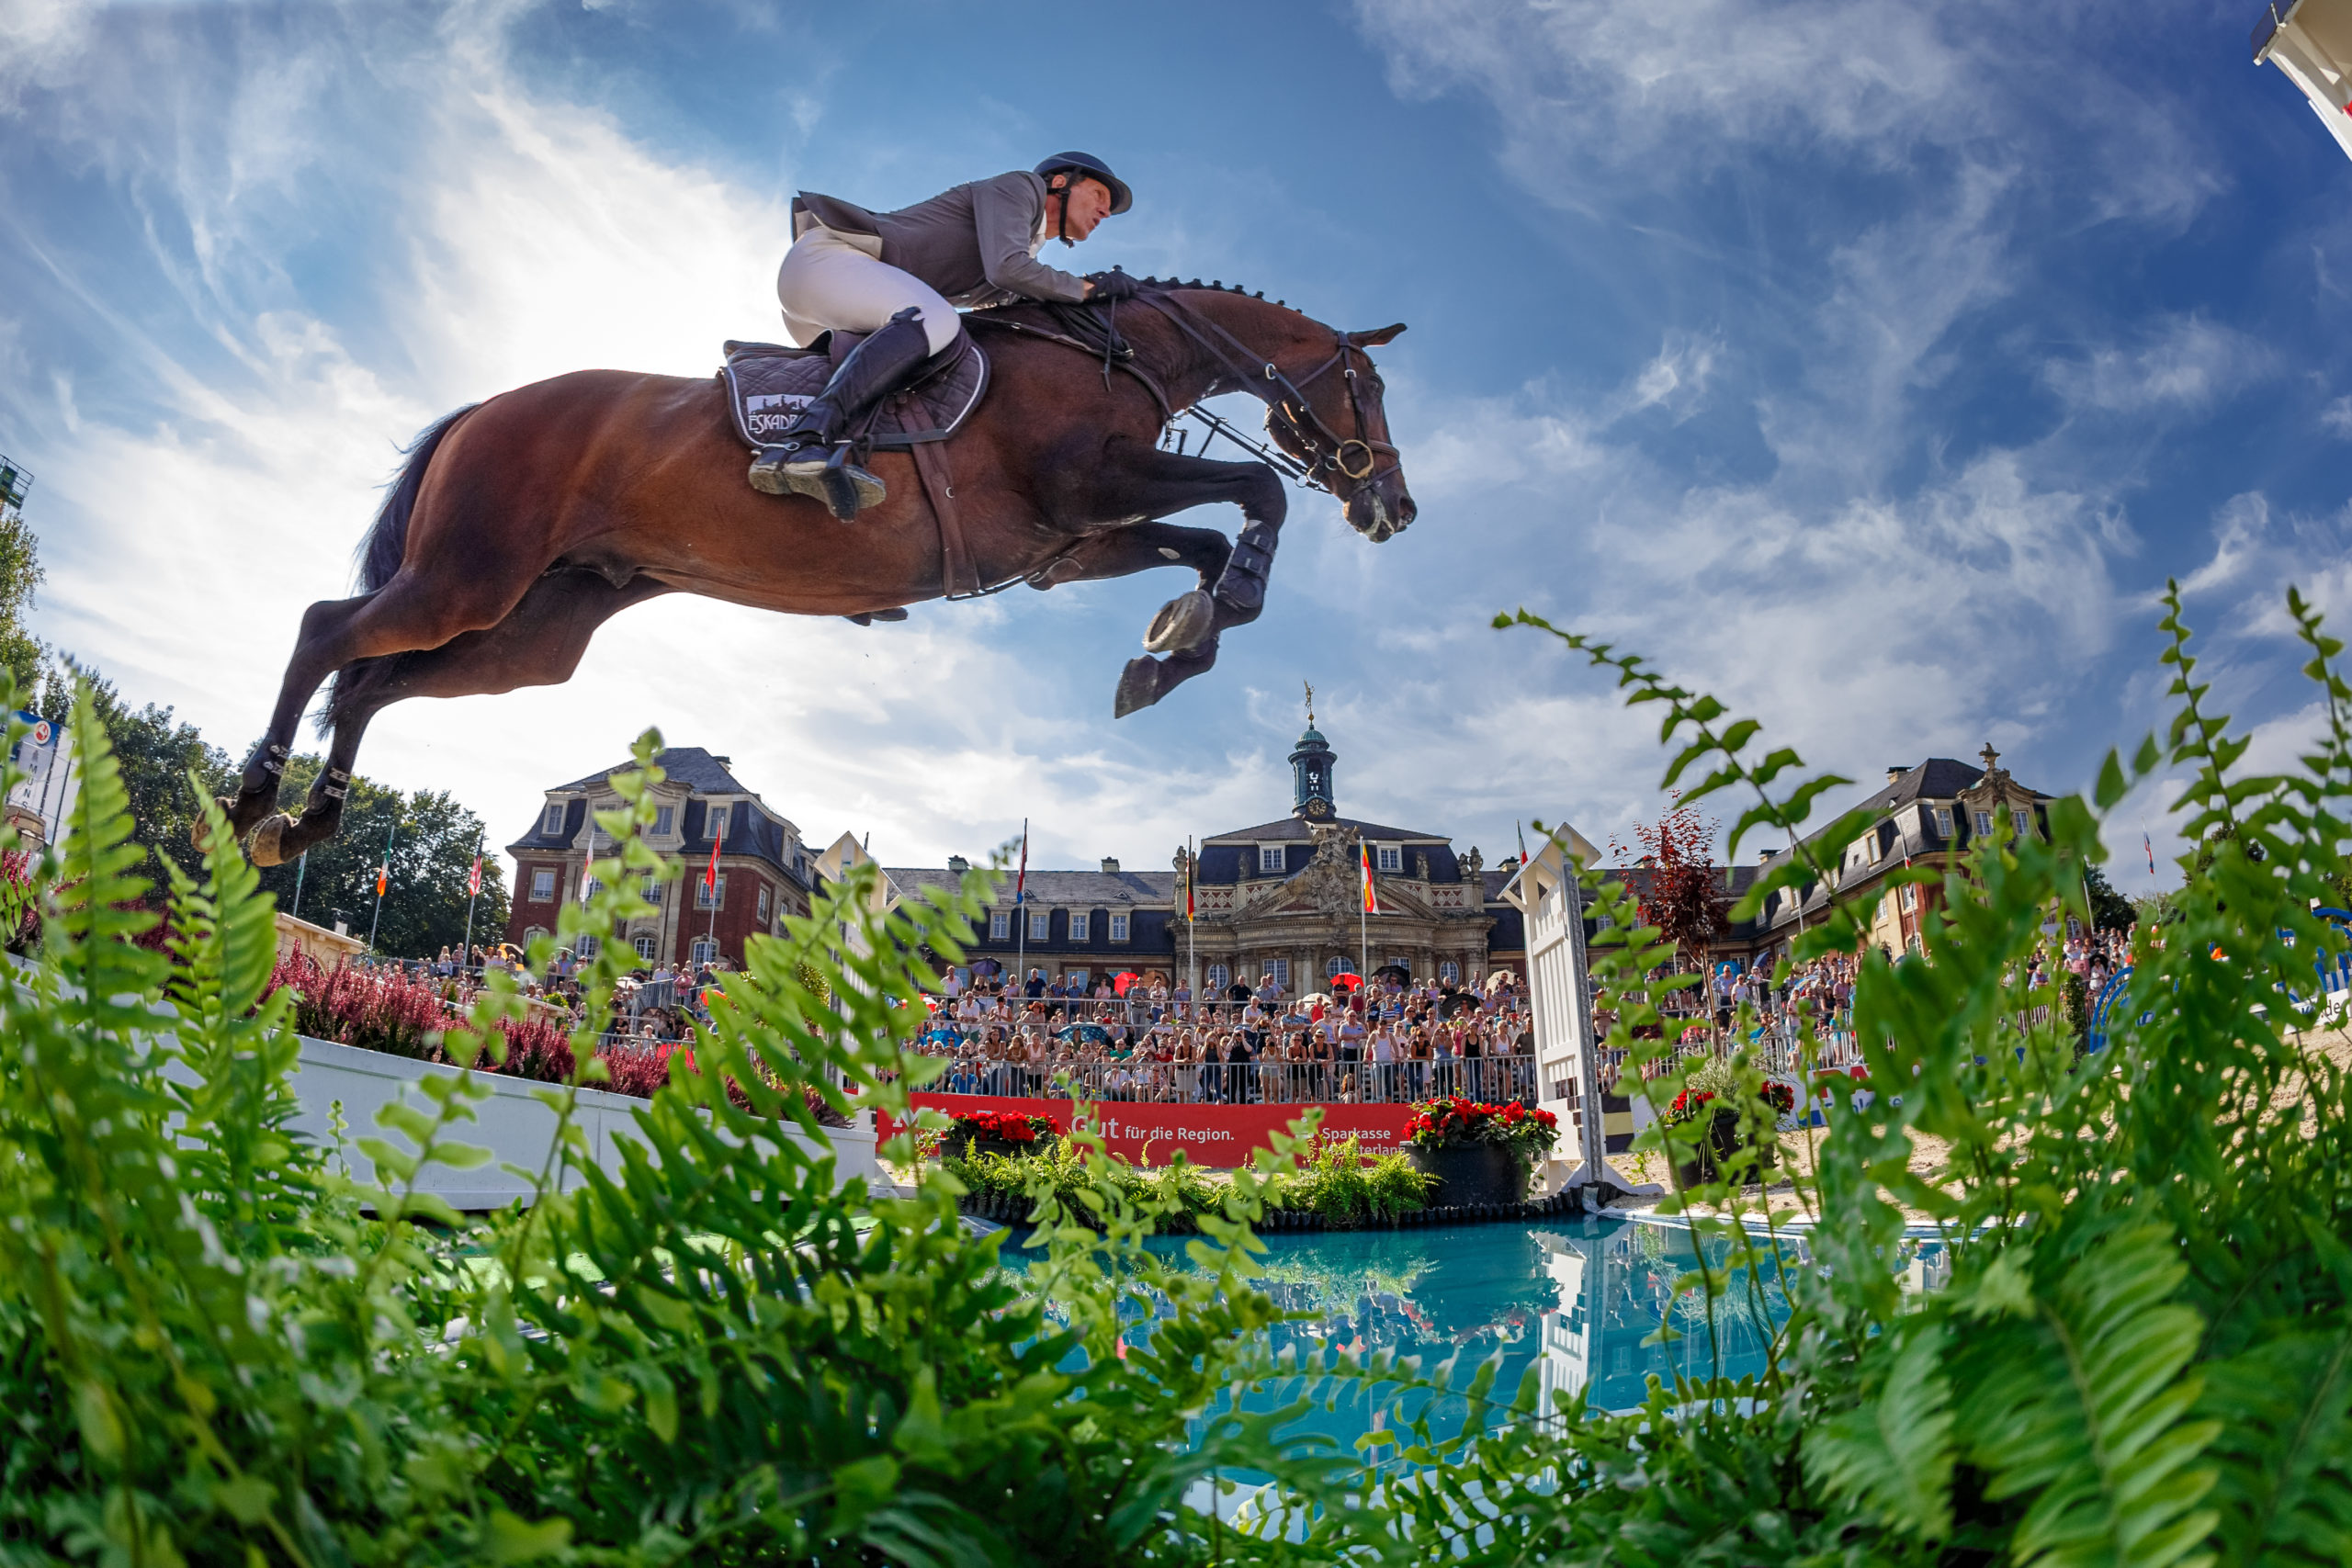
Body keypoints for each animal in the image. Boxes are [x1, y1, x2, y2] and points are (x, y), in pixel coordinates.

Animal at [211, 285, 1411, 869]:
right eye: (1366, 387)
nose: (1392, 509)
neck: (1112, 354)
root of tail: (483, 407)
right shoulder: (1090, 488)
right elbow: (1256, 498)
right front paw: (1206, 617)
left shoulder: (1068, 544)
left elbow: (1209, 540)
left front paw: (1169, 647)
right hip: (468, 576)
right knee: (325, 629)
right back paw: (255, 798)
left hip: (529, 633)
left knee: (374, 680)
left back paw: (305, 824)